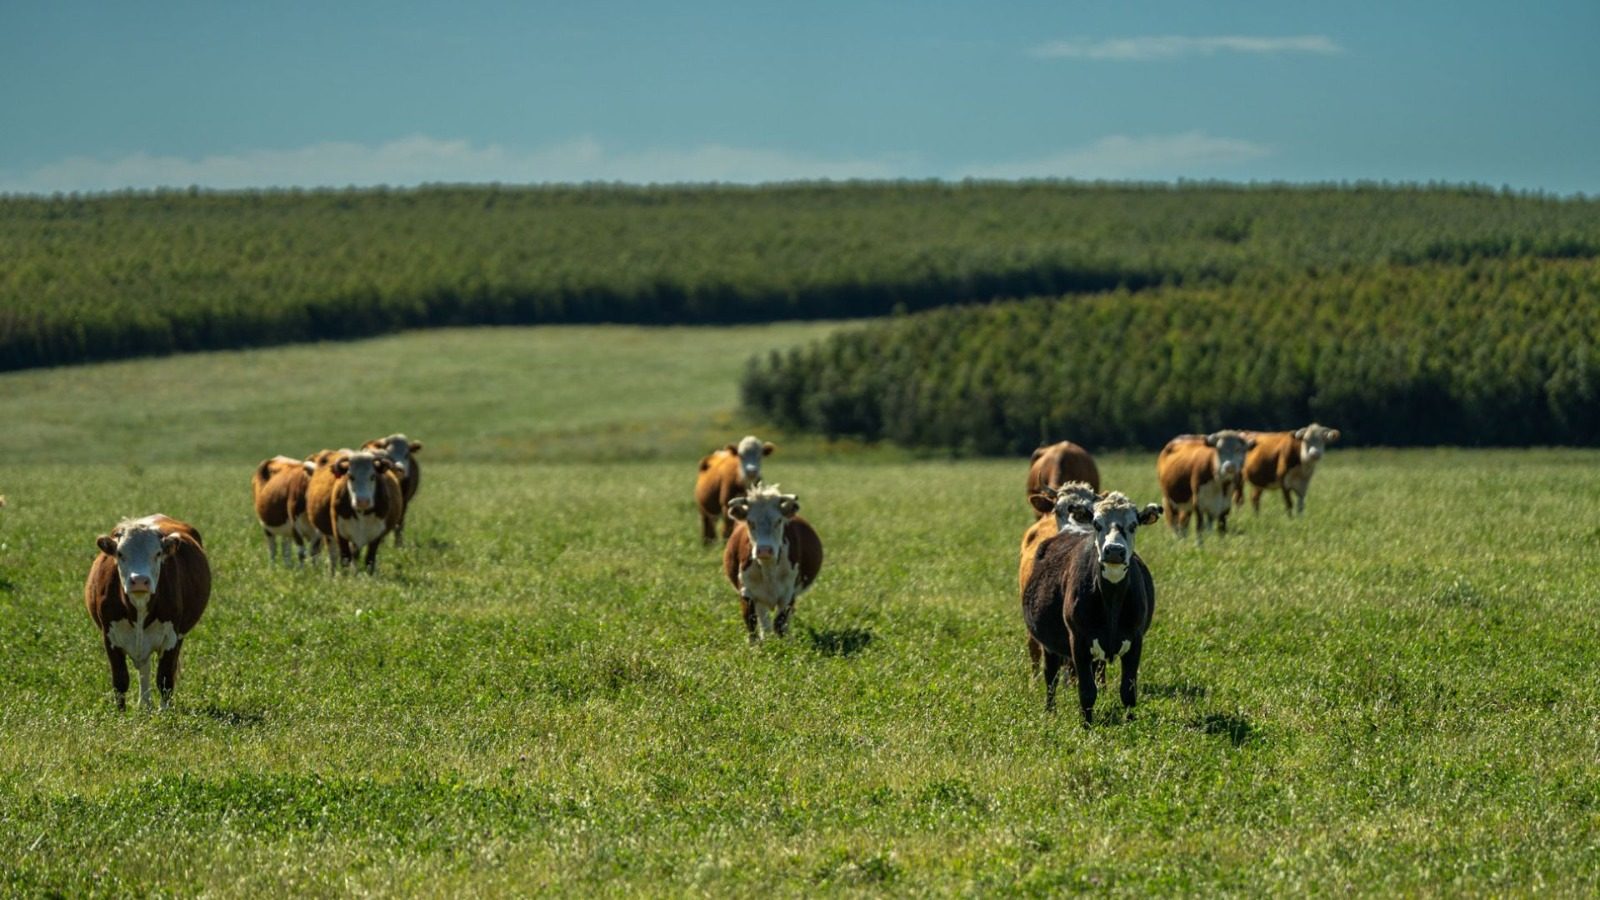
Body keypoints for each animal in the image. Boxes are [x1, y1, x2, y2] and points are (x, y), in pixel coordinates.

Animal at [84, 514, 210, 710]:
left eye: (157, 554)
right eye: (120, 554)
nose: (139, 580)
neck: (139, 606)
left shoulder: (171, 637)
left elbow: (165, 679)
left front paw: (165, 713)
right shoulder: (109, 637)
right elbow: (120, 680)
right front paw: (120, 713)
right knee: (144, 668)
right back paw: (144, 704)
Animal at [722, 483, 823, 643]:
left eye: (778, 521)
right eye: (750, 522)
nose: (764, 550)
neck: (768, 569)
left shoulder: (789, 594)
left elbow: (780, 623)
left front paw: (783, 645)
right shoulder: (747, 592)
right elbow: (751, 622)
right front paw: (757, 645)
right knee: (764, 621)